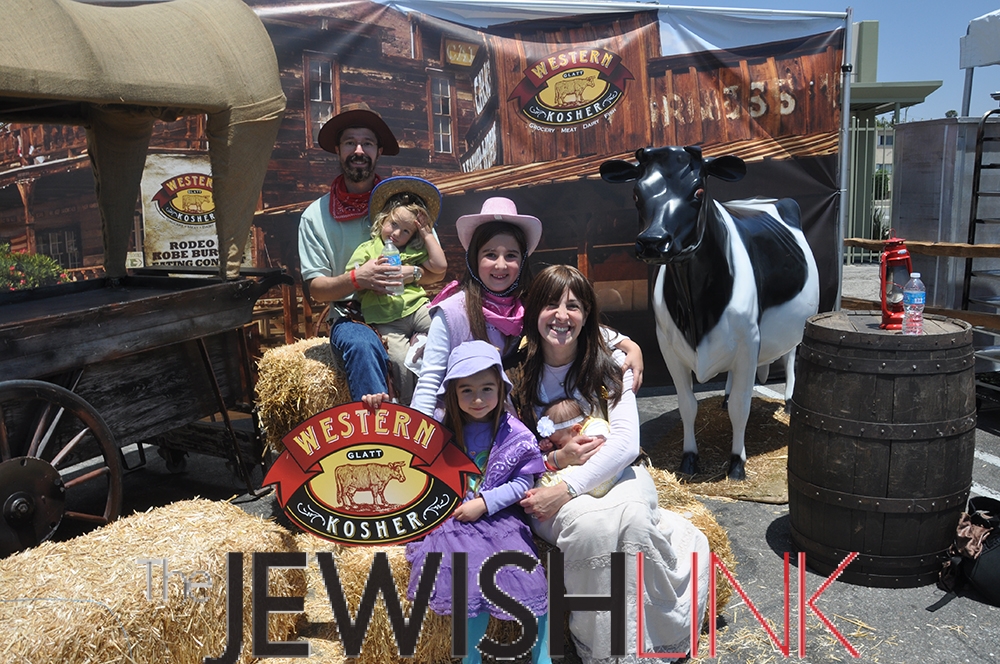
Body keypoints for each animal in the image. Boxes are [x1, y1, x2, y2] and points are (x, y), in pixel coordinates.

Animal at [600, 146, 819, 480]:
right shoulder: (668, 346)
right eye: (637, 193)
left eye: (698, 191)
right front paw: (689, 458)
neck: (696, 309)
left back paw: (789, 401)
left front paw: (737, 463)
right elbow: (687, 404)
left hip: (796, 326)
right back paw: (726, 396)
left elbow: (741, 408)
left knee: (790, 357)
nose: (653, 241)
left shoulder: (749, 342)